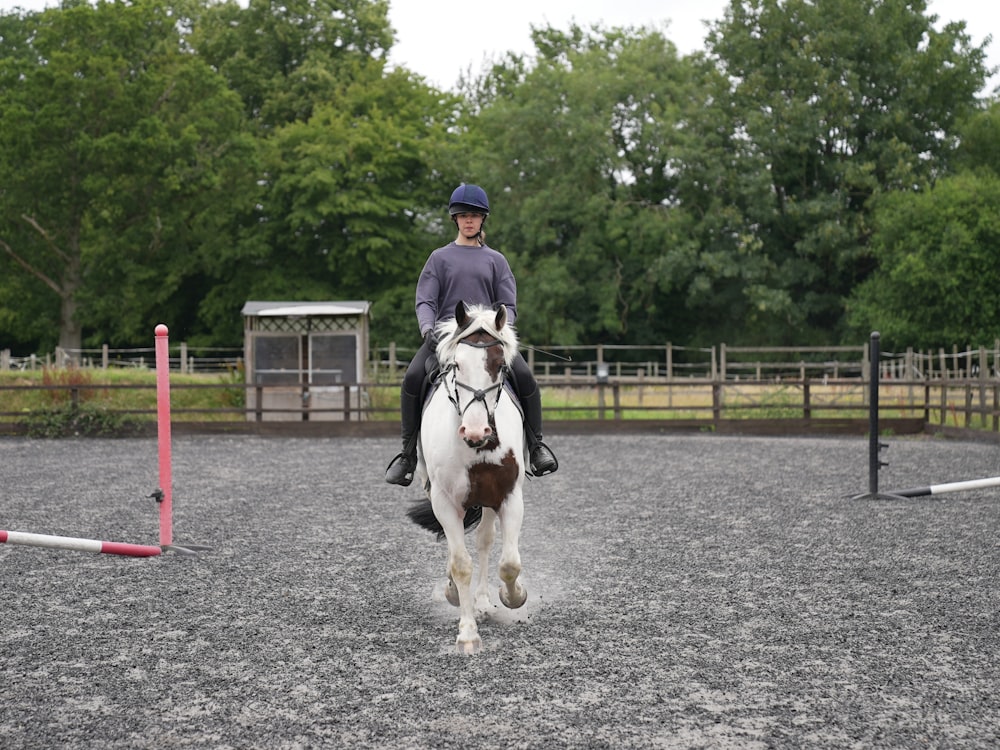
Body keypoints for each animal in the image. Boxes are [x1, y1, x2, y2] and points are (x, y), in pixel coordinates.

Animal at [406, 302, 532, 656]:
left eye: (499, 365)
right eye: (456, 366)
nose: (475, 431)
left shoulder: (509, 496)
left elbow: (509, 563)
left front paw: (513, 597)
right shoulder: (445, 500)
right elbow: (460, 563)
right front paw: (467, 635)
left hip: (487, 500)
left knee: (485, 541)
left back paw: (485, 601)